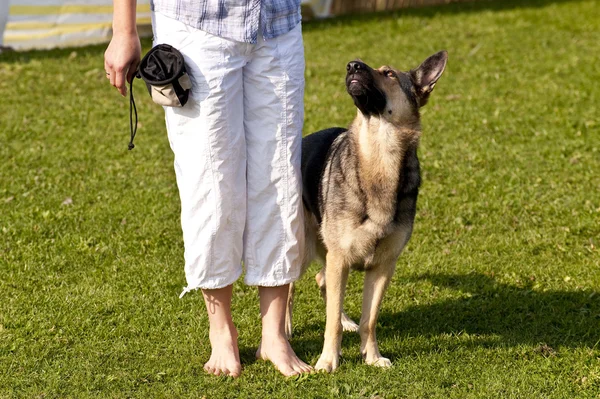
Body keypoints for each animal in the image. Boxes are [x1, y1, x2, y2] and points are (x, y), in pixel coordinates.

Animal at [288, 50, 450, 376]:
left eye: (388, 73)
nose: (353, 65)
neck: (380, 153)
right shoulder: (341, 259)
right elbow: (330, 324)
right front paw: (328, 361)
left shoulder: (382, 266)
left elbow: (369, 320)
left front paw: (372, 356)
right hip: (302, 251)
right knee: (284, 290)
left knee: (323, 283)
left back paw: (345, 320)